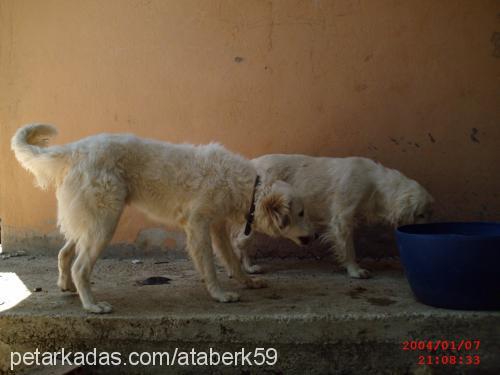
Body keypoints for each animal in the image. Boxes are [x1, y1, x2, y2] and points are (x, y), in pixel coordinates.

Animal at [11, 125, 312, 314]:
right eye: (300, 213)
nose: (313, 236)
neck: (246, 186)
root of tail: (75, 149)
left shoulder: (216, 227)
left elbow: (231, 261)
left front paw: (247, 282)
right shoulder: (198, 226)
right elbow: (210, 266)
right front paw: (219, 295)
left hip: (90, 222)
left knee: (64, 254)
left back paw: (67, 287)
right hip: (104, 223)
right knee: (80, 266)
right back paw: (93, 306)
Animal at [235, 153, 434, 280]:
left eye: (429, 214)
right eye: (421, 214)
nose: (427, 231)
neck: (375, 185)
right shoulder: (342, 219)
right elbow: (348, 248)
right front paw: (355, 271)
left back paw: (248, 267)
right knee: (239, 242)